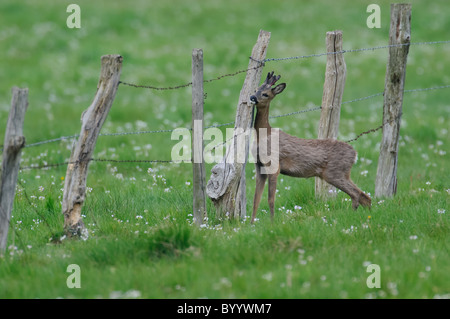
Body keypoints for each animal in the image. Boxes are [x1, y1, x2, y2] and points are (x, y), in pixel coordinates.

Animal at [248, 71, 370, 224]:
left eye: (265, 94)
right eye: (255, 89)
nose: (252, 97)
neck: (264, 135)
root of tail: (355, 153)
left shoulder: (274, 164)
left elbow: (270, 199)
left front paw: (272, 223)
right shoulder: (259, 166)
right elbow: (255, 200)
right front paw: (251, 224)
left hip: (335, 172)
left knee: (357, 194)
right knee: (364, 196)